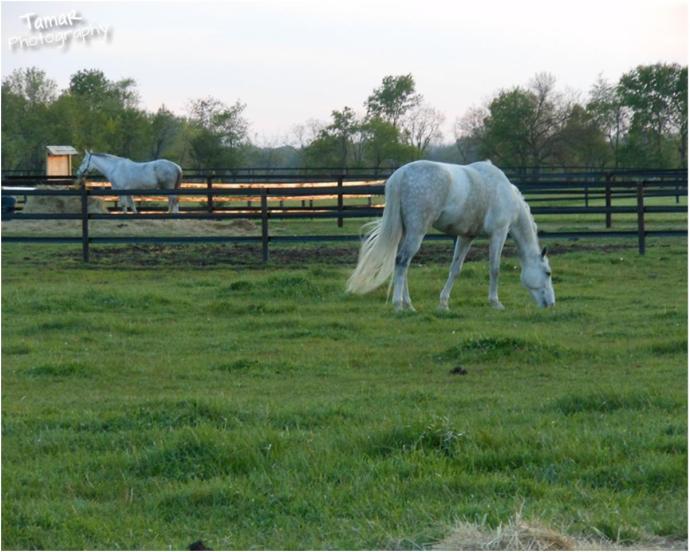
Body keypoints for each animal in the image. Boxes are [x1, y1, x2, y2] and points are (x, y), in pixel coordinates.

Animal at [346, 160, 555, 311]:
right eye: (548, 273)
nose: (551, 304)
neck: (504, 192)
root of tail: (400, 175)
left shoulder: (466, 236)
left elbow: (455, 269)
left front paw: (443, 303)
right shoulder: (499, 233)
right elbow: (495, 269)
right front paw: (495, 303)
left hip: (405, 232)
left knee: (401, 265)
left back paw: (408, 304)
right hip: (416, 232)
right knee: (402, 261)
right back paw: (399, 305)